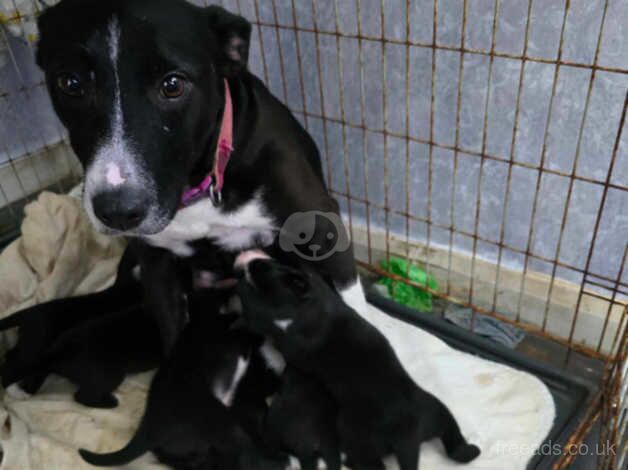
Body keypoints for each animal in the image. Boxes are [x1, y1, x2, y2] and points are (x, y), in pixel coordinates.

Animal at [36, 0, 366, 352]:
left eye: (173, 85)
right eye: (70, 83)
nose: (118, 212)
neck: (201, 186)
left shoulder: (323, 227)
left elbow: (354, 307)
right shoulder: (156, 264)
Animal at [237, 253, 480, 470]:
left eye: (265, 269)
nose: (254, 260)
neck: (315, 301)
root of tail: (409, 436)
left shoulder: (283, 331)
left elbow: (258, 313)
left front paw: (242, 285)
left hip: (356, 435)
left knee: (374, 465)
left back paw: (350, 461)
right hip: (437, 411)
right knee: (454, 439)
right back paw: (469, 451)